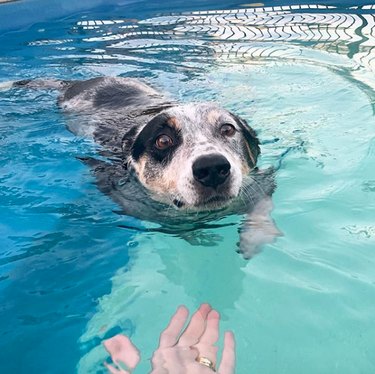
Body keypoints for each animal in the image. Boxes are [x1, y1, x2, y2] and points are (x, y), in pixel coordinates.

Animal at [10, 76, 280, 258]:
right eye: (163, 140)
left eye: (227, 129)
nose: (212, 167)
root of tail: (80, 81)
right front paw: (196, 236)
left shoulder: (261, 181)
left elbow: (261, 206)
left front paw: (254, 238)